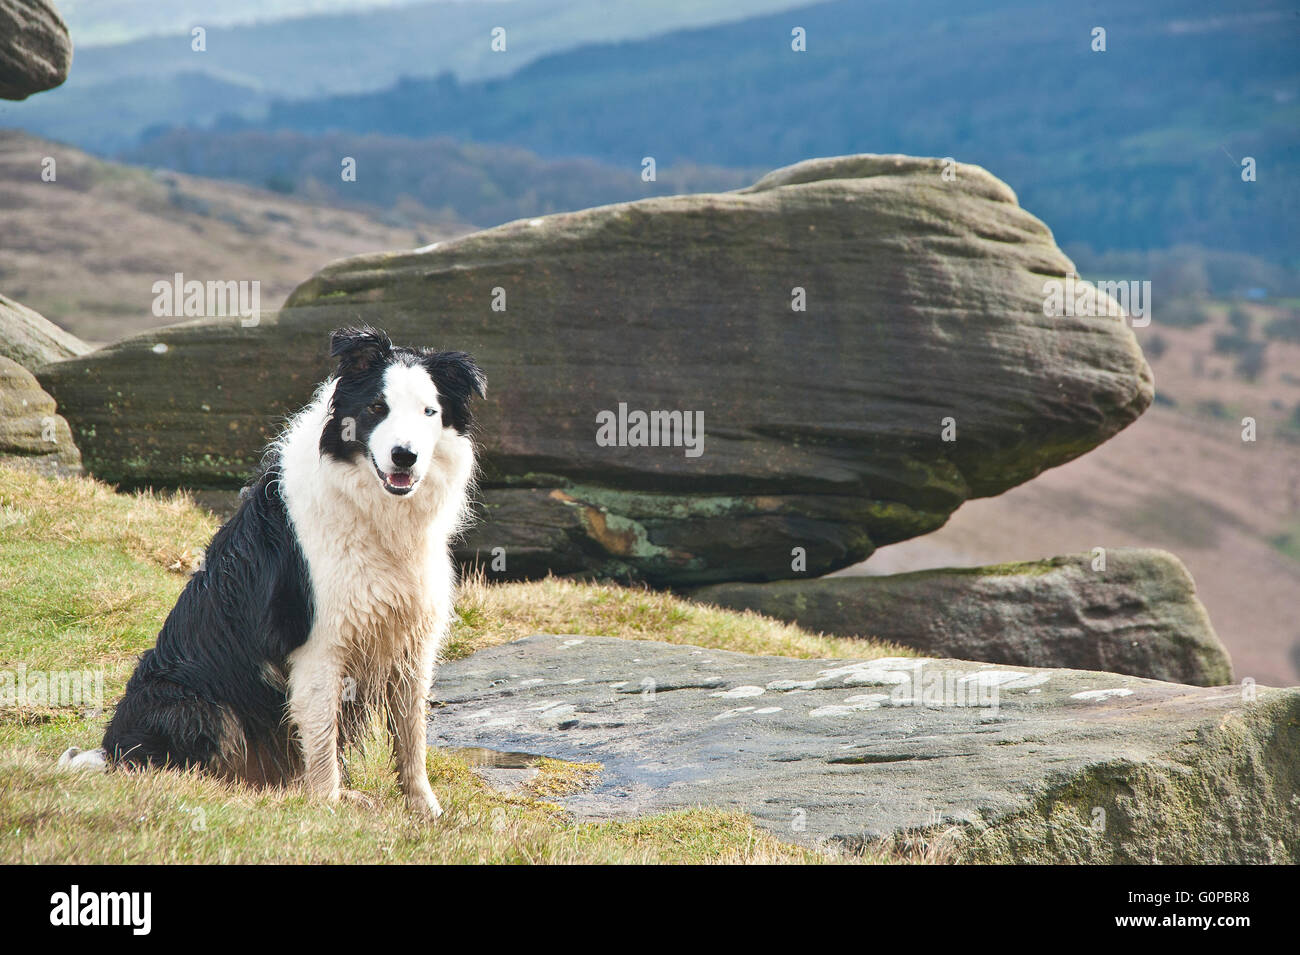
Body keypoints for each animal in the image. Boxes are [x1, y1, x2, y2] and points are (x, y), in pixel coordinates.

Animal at [59, 327, 483, 815]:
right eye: (377, 408)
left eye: (429, 411)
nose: (404, 456)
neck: (375, 510)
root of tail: (111, 751)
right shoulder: (318, 643)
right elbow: (322, 740)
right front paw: (328, 808)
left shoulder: (411, 637)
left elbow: (412, 735)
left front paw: (424, 808)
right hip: (187, 698)